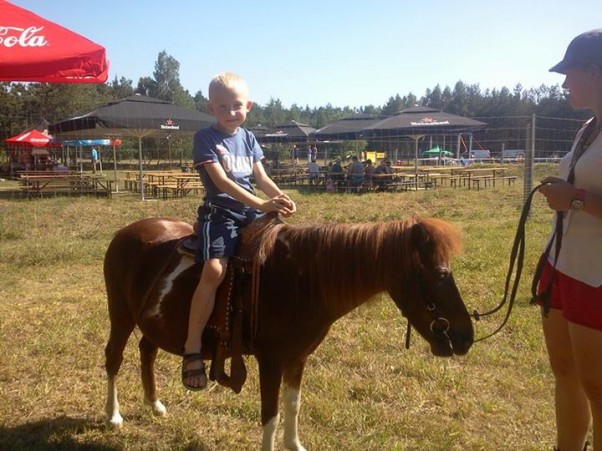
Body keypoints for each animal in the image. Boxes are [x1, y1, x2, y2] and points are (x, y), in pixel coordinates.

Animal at [103, 215, 472, 451]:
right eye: (441, 273)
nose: (466, 336)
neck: (301, 279)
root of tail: (126, 232)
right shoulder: (270, 361)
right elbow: (271, 414)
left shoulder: (298, 358)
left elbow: (292, 405)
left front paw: (295, 444)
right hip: (120, 315)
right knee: (114, 358)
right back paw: (113, 416)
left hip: (153, 323)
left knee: (147, 350)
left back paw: (154, 405)